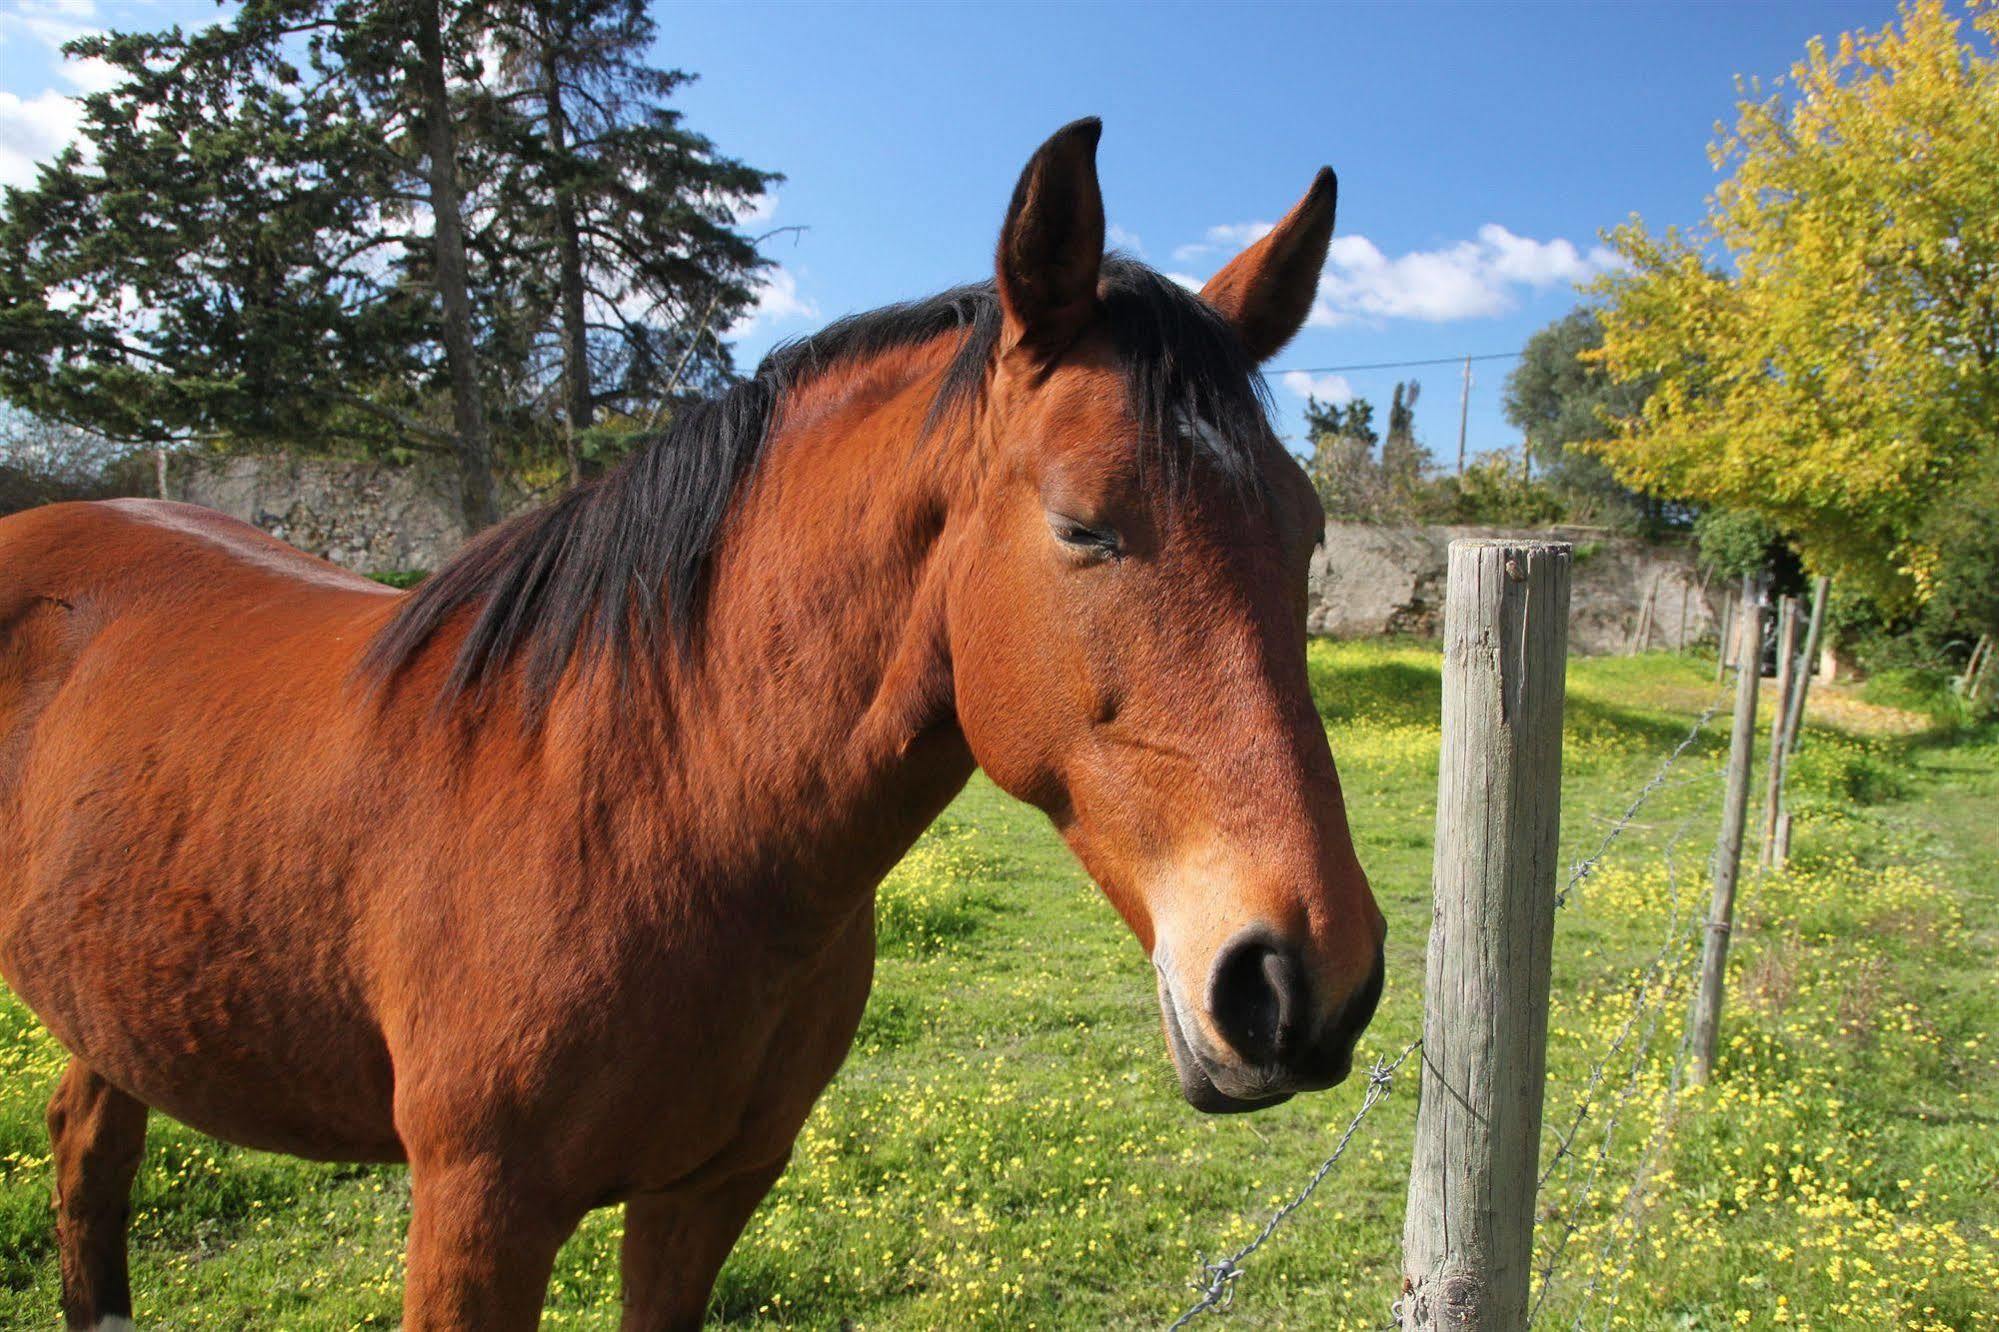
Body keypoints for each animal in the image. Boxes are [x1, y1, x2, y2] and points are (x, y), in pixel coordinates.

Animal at [0, 119, 1383, 1320]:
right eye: (1082, 524)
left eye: (1307, 532)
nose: (1302, 983)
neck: (648, 806)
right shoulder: (476, 1213)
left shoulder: (706, 1196)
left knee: (88, 1148)